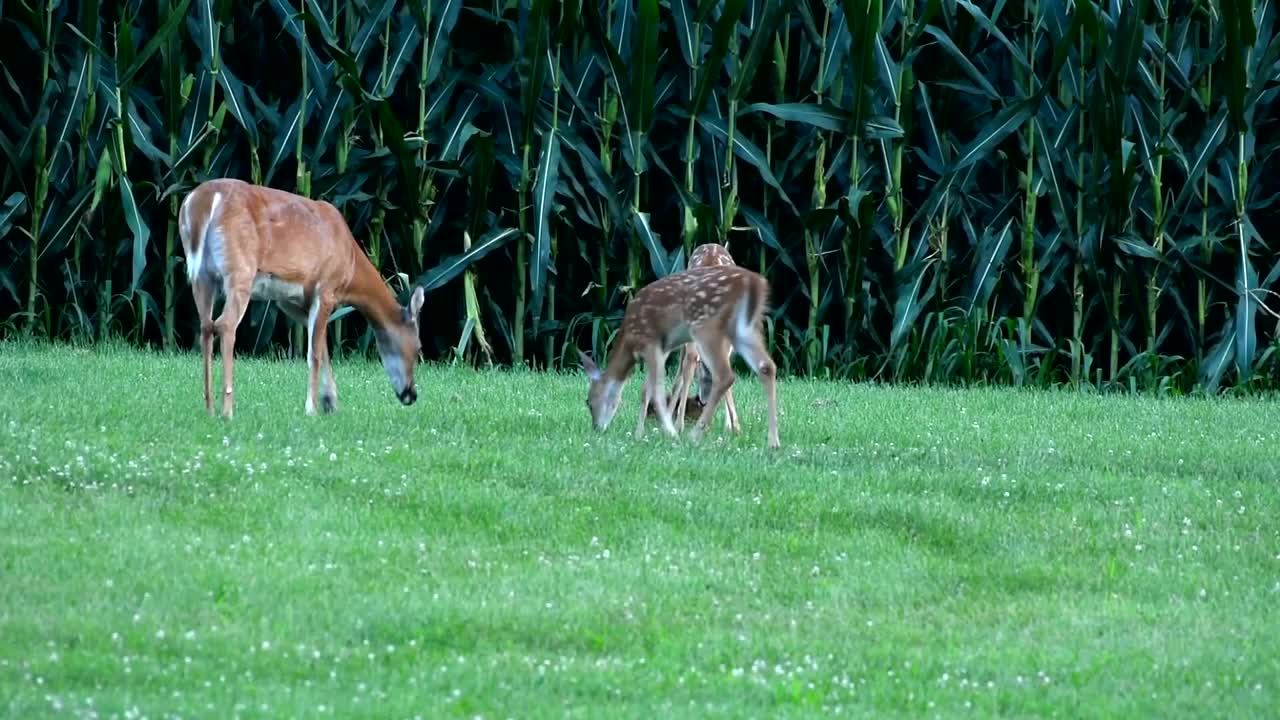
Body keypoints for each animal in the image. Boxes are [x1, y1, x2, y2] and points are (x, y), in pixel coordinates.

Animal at [179, 176, 424, 417]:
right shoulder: (326, 289)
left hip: (201, 275)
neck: (351, 262)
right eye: (418, 348)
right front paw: (311, 409)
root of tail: (203, 200)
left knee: (205, 326)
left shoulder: (290, 300)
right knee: (225, 324)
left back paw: (209, 408)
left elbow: (322, 347)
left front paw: (330, 401)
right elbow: (313, 353)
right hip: (240, 270)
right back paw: (227, 411)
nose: (411, 395)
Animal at [578, 262, 778, 443]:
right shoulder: (663, 348)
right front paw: (639, 434)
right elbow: (646, 389)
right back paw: (773, 442)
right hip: (744, 329)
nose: (597, 428)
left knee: (725, 376)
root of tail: (754, 282)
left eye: (588, 402)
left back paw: (693, 436)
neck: (629, 341)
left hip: (706, 325)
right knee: (766, 366)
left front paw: (670, 433)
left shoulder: (650, 341)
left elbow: (656, 390)